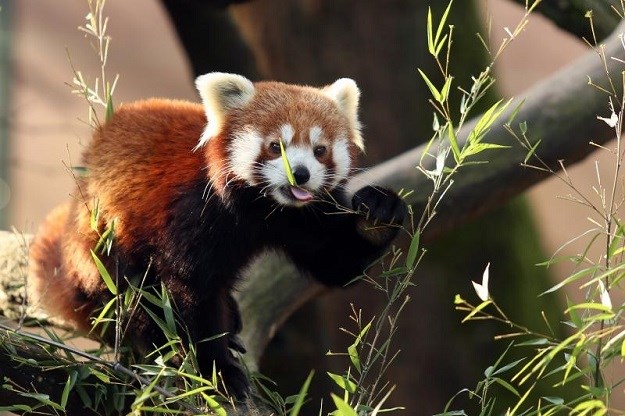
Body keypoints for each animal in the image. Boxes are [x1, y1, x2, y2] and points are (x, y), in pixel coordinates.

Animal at [29, 73, 408, 398]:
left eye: (320, 150)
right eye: (276, 146)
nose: (300, 174)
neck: (263, 209)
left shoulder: (305, 218)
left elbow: (336, 261)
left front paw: (379, 212)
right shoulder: (195, 210)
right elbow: (189, 288)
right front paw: (216, 368)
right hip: (103, 248)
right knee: (131, 295)